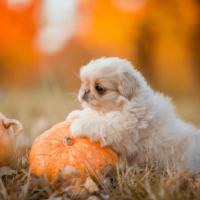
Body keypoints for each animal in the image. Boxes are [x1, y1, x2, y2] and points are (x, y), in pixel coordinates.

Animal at [67, 56, 200, 173]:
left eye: (99, 88)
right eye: (83, 83)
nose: (85, 91)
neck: (122, 104)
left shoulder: (119, 128)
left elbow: (98, 124)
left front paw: (77, 125)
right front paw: (74, 115)